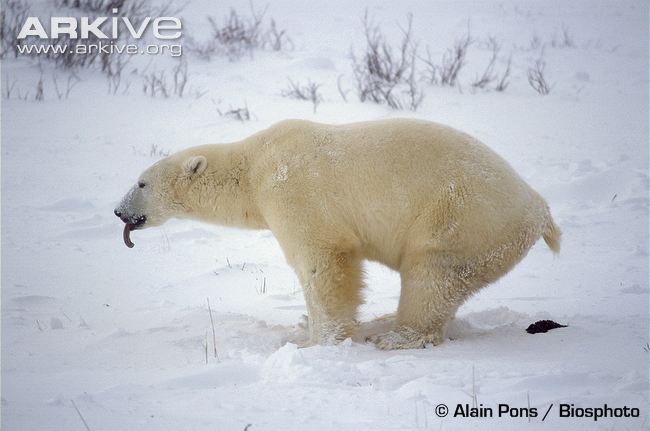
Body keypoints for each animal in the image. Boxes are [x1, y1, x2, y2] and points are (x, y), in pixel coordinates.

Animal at [114, 119, 560, 350]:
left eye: (141, 182)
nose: (119, 211)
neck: (255, 165)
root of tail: (539, 209)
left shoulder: (293, 193)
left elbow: (324, 263)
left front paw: (319, 342)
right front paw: (302, 326)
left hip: (462, 216)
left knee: (432, 274)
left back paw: (396, 336)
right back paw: (383, 322)